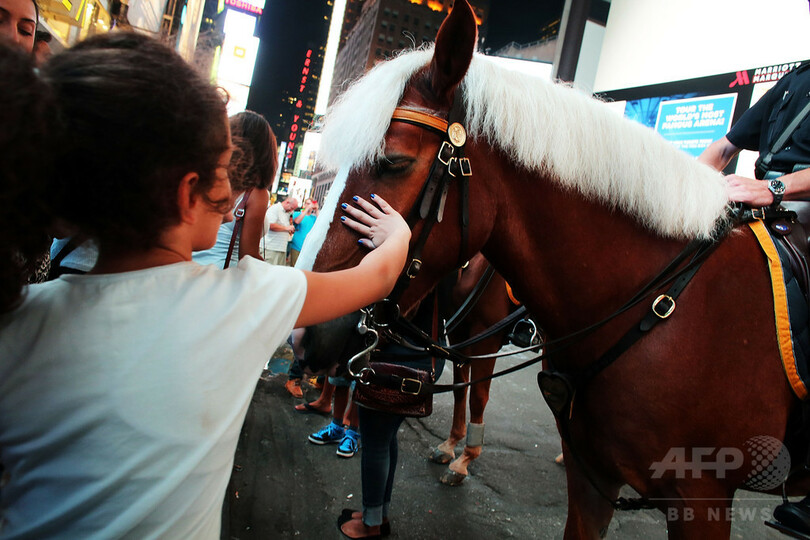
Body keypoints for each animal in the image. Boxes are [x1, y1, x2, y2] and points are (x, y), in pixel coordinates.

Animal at [298, 1, 808, 536]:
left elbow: (475, 396)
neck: (666, 310)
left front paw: (464, 458)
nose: (308, 335)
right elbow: (463, 395)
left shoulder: (701, 498)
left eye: (393, 162)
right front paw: (452, 446)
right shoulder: (591, 476)